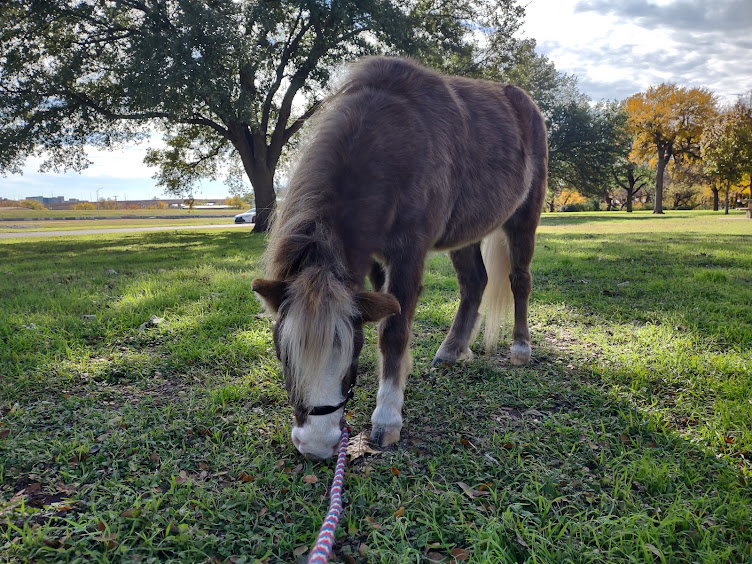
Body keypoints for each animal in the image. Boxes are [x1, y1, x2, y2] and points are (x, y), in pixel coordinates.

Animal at [253, 56, 548, 458]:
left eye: (352, 351)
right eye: (282, 352)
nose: (316, 444)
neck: (390, 142)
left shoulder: (408, 253)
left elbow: (393, 332)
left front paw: (387, 418)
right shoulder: (377, 261)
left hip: (524, 217)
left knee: (519, 280)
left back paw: (520, 348)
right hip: (466, 232)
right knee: (475, 283)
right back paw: (452, 349)